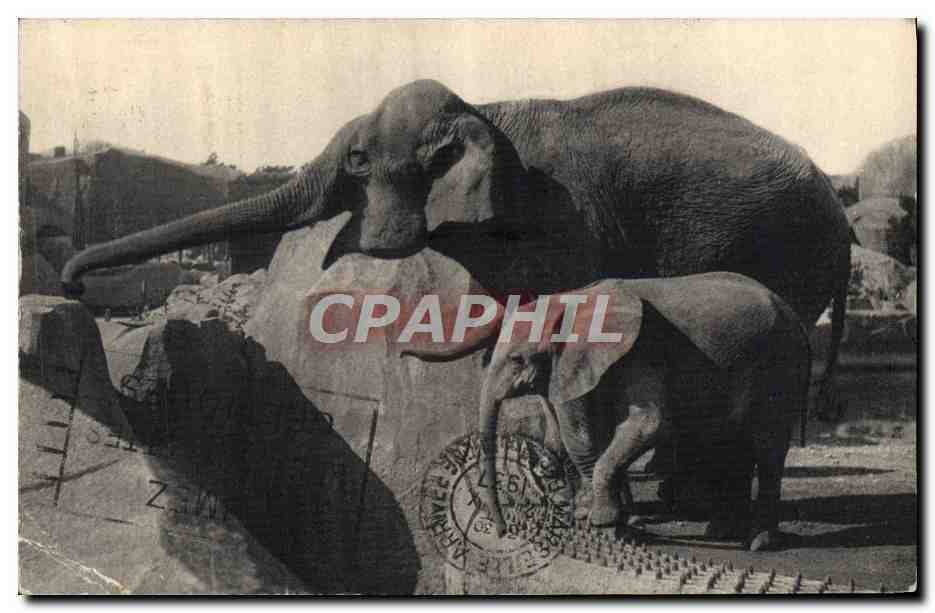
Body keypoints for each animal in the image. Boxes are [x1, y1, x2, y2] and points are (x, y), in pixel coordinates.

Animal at [60, 79, 849, 410]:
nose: (70, 284)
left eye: (356, 162)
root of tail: (841, 219)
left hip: (784, 246)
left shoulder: (567, 214)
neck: (484, 108)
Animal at [404, 272, 812, 552]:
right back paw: (723, 532)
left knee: (766, 447)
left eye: (518, 359)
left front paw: (603, 525)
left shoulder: (642, 352)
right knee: (727, 443)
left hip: (780, 365)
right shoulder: (572, 365)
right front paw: (602, 522)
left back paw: (759, 542)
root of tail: (794, 314)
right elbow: (573, 435)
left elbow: (646, 425)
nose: (501, 531)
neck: (569, 302)